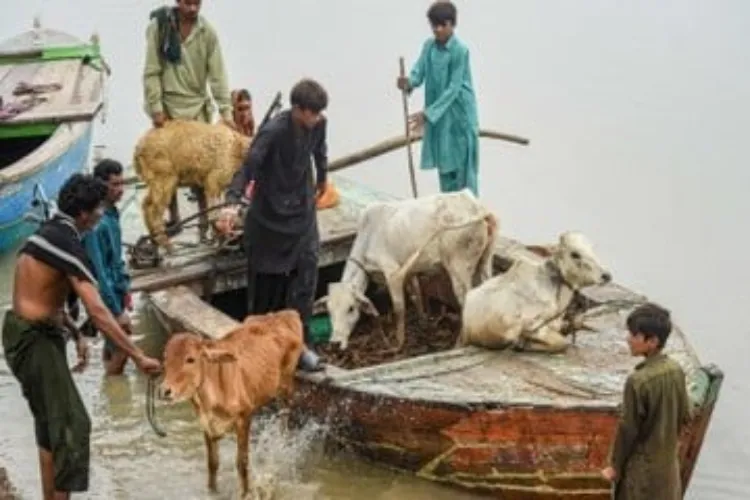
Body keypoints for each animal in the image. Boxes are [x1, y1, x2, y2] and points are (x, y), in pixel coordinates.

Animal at [160, 308, 304, 496]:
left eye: (190, 359)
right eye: (165, 358)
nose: (165, 391)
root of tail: (286, 313)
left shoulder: (244, 418)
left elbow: (242, 463)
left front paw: (245, 493)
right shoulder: (207, 425)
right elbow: (212, 463)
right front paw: (212, 491)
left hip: (286, 387)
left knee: (284, 420)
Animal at [318, 189, 500, 350]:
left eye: (351, 308)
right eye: (329, 311)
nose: (335, 342)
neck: (367, 238)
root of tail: (477, 207)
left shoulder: (393, 273)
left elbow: (399, 308)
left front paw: (398, 344)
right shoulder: (410, 271)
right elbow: (416, 296)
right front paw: (423, 323)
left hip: (458, 267)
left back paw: (459, 344)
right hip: (485, 261)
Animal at [458, 231, 612, 354]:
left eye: (591, 249)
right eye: (575, 254)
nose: (606, 275)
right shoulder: (528, 326)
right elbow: (562, 343)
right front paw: (522, 345)